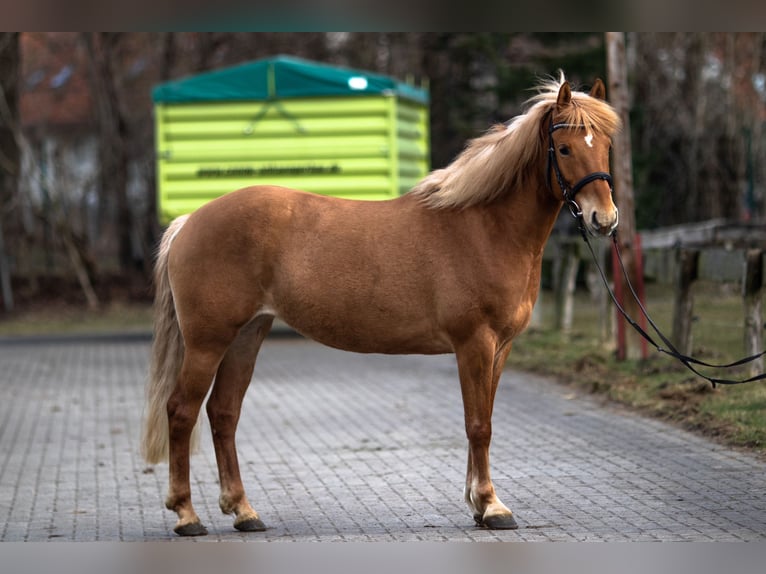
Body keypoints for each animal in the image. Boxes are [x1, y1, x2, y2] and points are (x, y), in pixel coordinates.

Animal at [142, 74, 624, 536]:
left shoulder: (500, 348)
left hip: (246, 336)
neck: (484, 227)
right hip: (208, 342)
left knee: (223, 413)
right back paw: (187, 515)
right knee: (181, 412)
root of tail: (190, 220)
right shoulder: (474, 343)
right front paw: (492, 506)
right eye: (564, 148)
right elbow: (478, 425)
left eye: (605, 146)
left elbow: (482, 418)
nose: (604, 219)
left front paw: (478, 504)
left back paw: (243, 511)